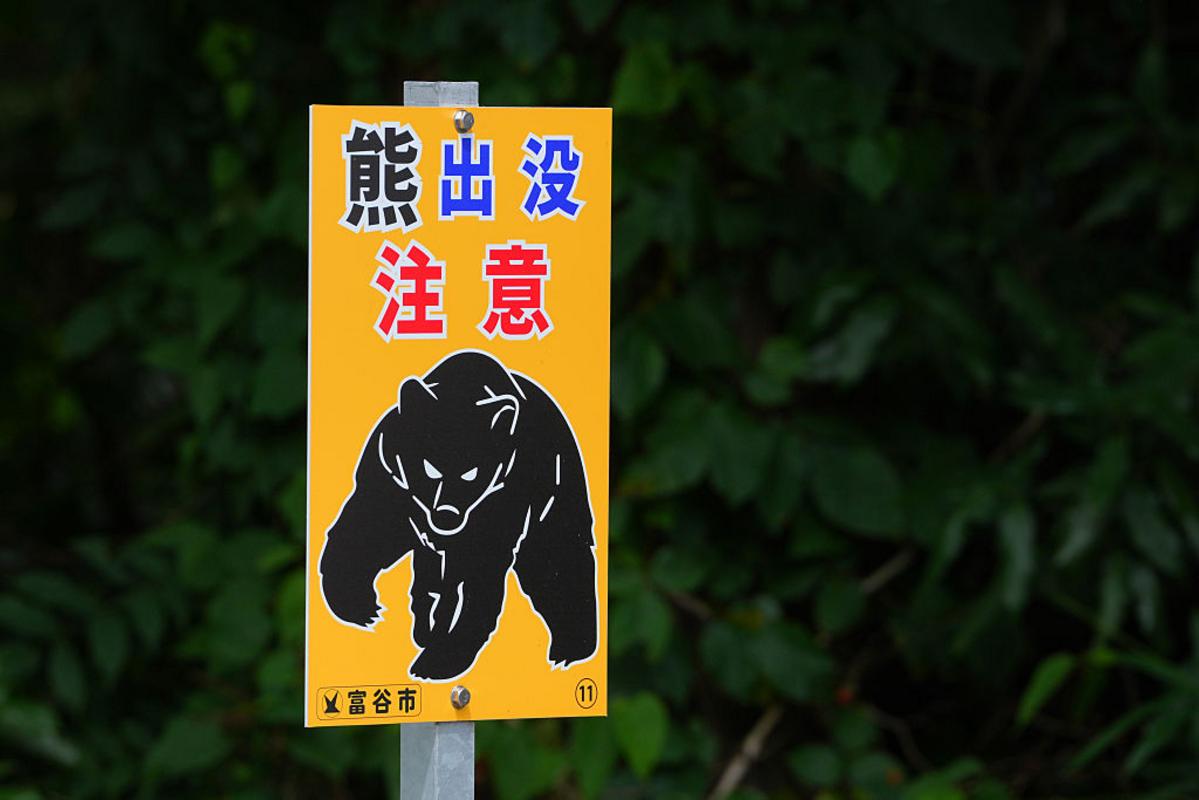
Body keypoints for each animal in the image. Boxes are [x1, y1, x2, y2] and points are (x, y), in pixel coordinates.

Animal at [318, 349, 598, 681]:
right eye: (429, 467)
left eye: (471, 473)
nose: (447, 515)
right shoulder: (391, 479)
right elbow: (364, 532)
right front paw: (363, 607)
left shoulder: (504, 497)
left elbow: (480, 577)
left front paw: (436, 662)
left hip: (556, 491)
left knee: (559, 560)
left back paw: (569, 651)